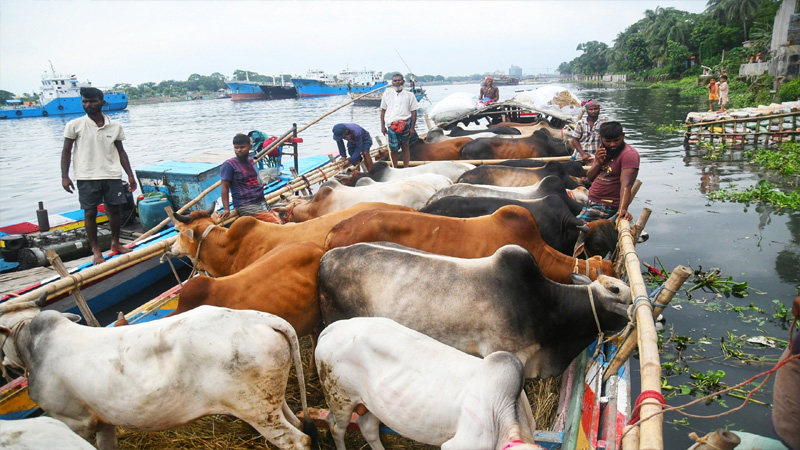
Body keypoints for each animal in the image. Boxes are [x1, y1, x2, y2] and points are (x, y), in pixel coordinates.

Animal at [0, 298, 314, 450]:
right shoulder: (104, 422)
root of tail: (257, 318)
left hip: (257, 412)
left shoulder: (74, 421)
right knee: (297, 420)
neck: (33, 346)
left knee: (298, 441)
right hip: (271, 403)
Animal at [316, 316, 548, 450]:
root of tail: (336, 326)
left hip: (372, 404)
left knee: (368, 428)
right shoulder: (459, 446)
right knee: (336, 427)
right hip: (339, 397)